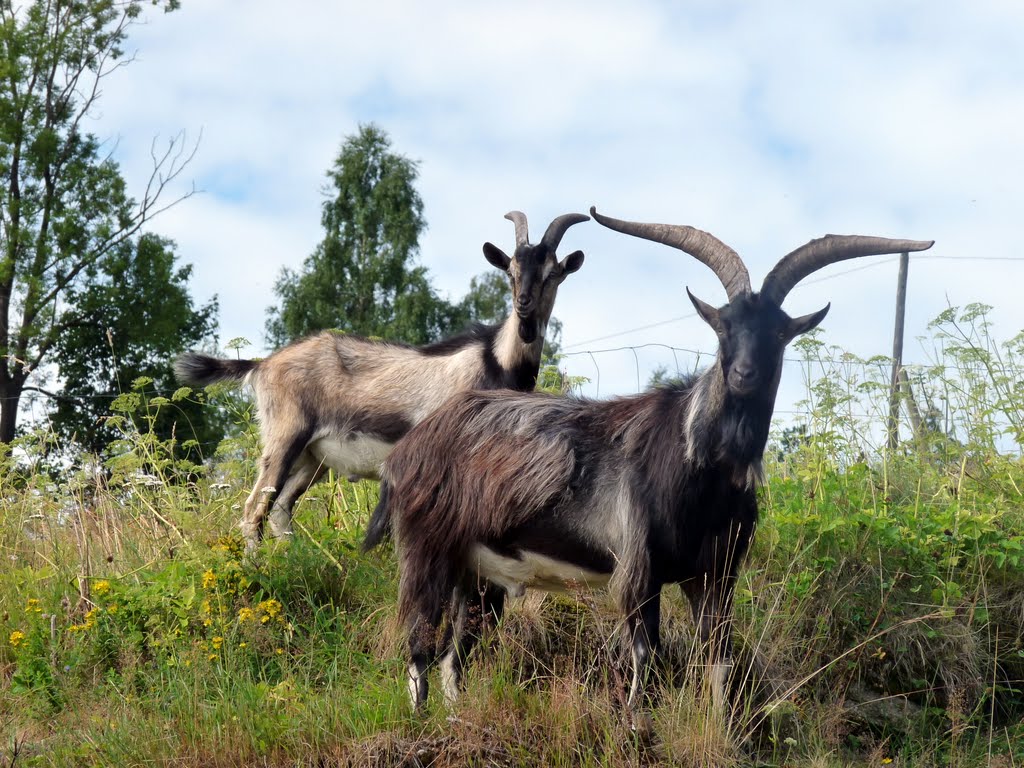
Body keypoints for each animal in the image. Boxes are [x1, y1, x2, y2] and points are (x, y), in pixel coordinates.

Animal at [175, 211, 588, 549]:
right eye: (510, 271)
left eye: (552, 274)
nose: (524, 307)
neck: (496, 359)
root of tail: (263, 365)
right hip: (285, 435)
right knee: (253, 510)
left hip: (312, 458)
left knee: (280, 510)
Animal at [365, 207, 933, 712]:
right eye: (723, 327)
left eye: (778, 331)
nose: (744, 375)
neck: (699, 469)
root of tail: (412, 449)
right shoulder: (639, 568)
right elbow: (646, 658)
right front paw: (637, 726)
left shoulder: (716, 576)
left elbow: (719, 660)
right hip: (427, 547)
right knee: (419, 643)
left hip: (479, 572)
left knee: (454, 655)